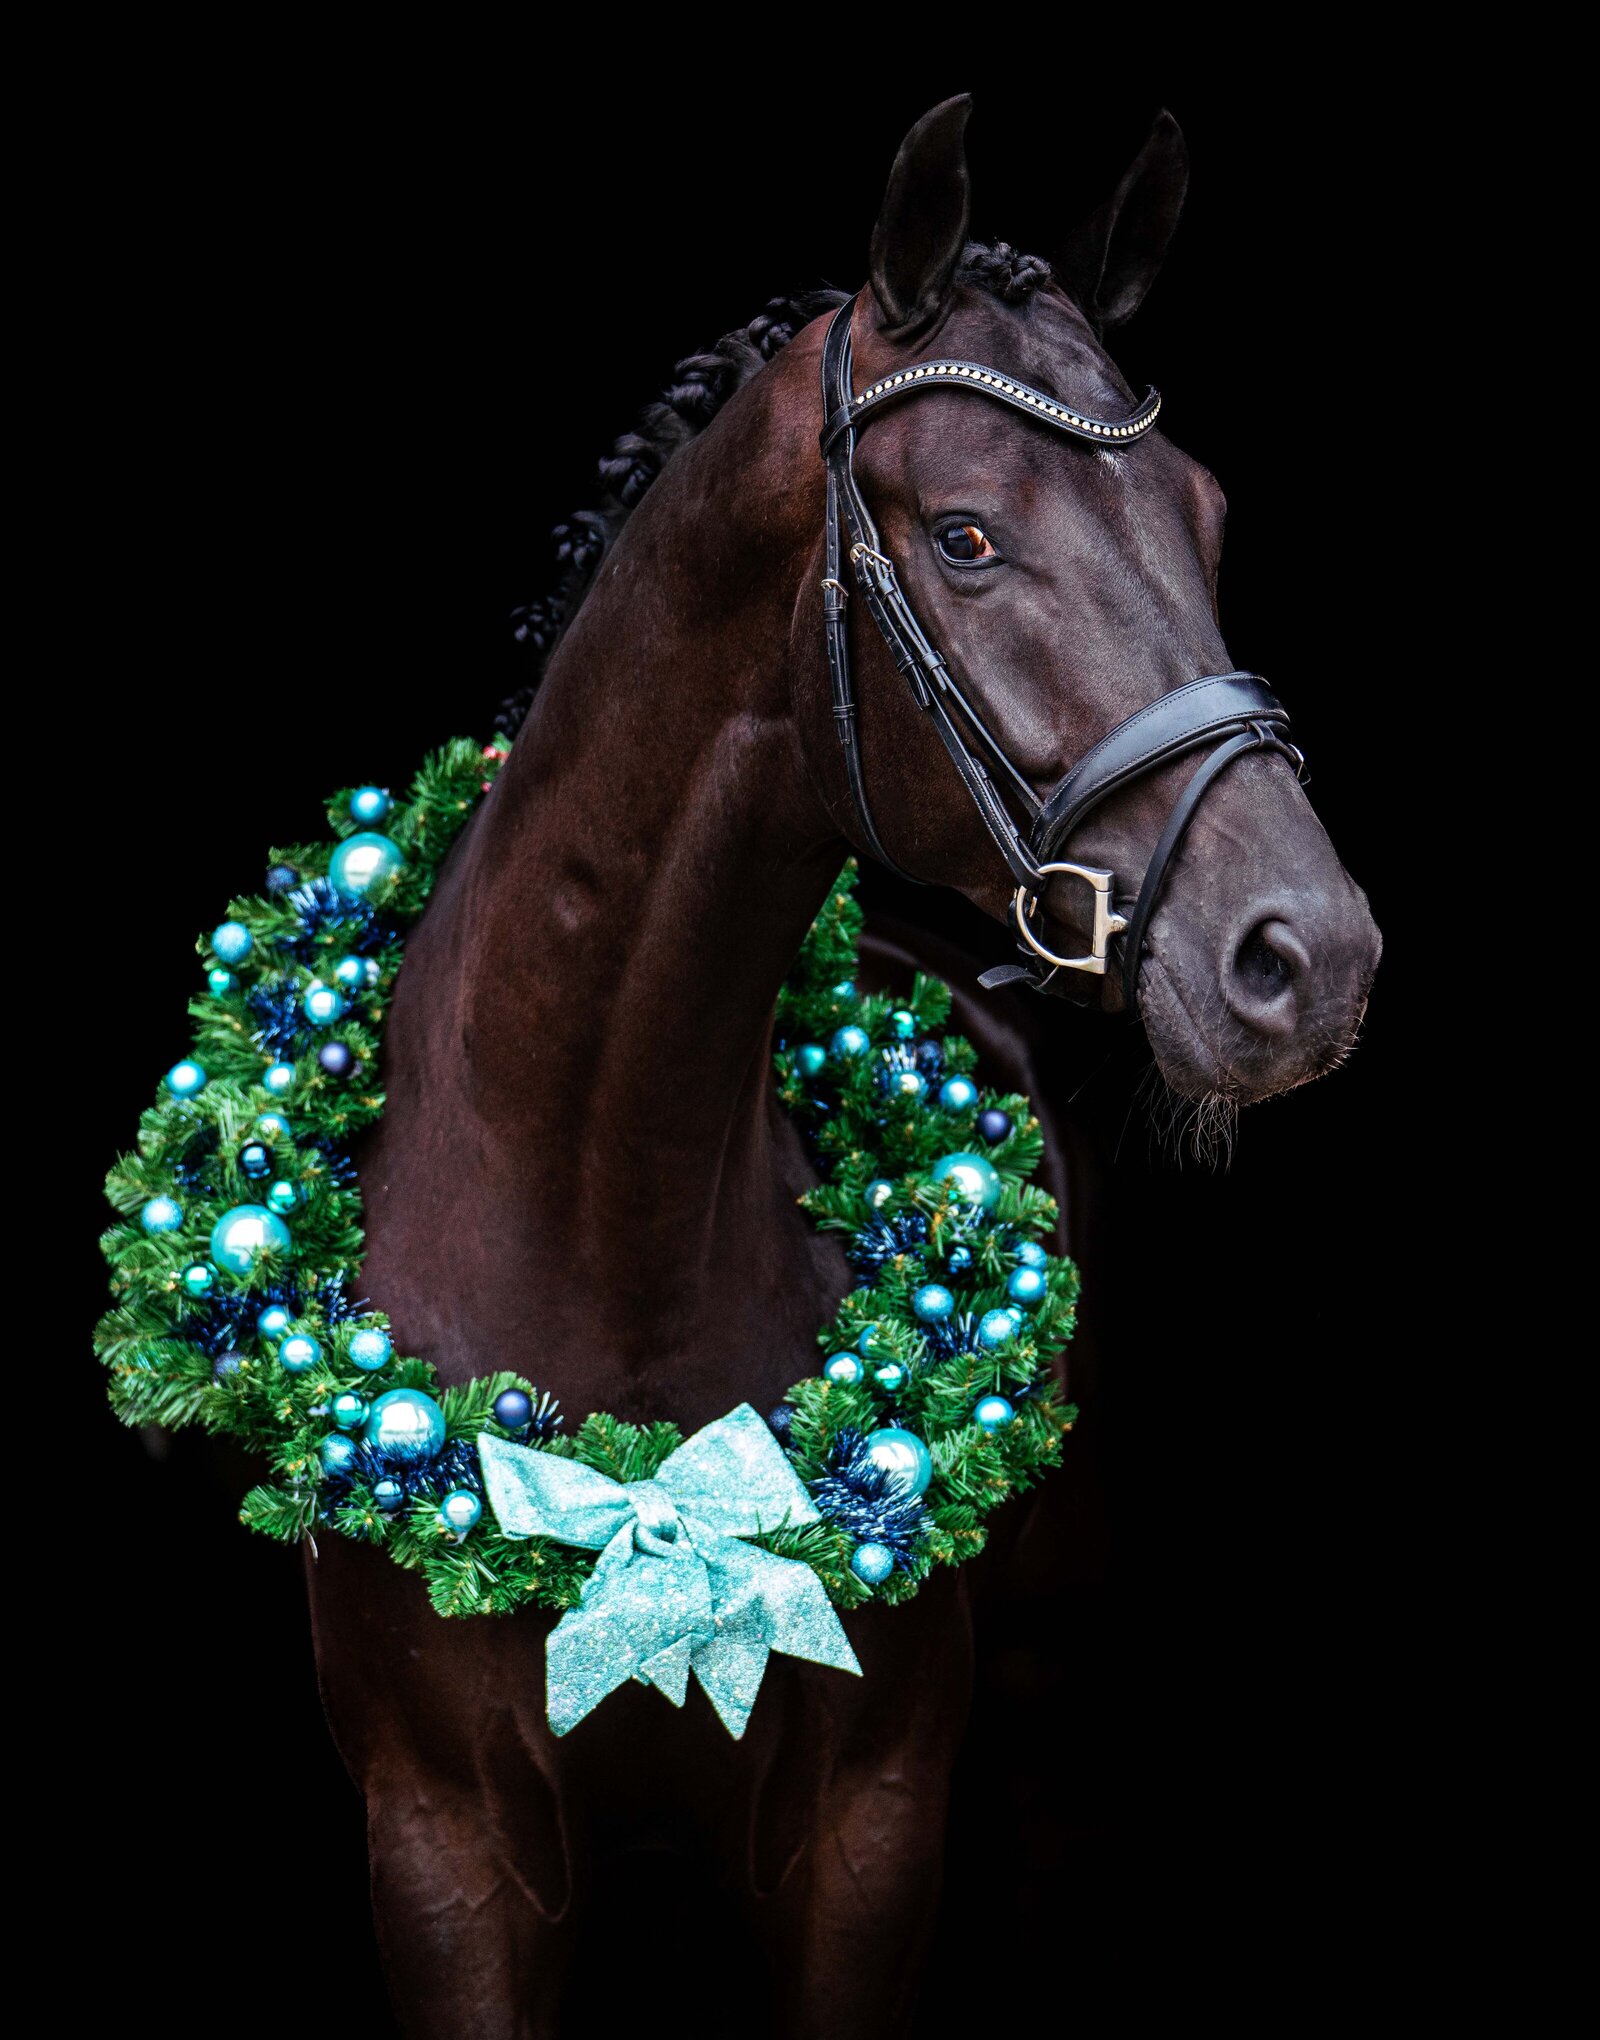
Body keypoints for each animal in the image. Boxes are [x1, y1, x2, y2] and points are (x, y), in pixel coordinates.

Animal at [305, 96, 1381, 2036]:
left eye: (1207, 512)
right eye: (963, 537)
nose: (1306, 956)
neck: (600, 1245)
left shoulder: (867, 1834)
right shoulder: (443, 1852)